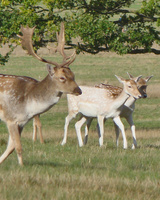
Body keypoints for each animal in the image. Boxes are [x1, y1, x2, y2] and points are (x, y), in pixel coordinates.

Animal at [0, 22, 81, 166]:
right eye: (62, 78)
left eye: (73, 75)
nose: (79, 90)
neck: (28, 104)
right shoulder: (11, 118)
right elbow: (18, 147)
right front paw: (22, 166)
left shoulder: (22, 121)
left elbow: (11, 147)